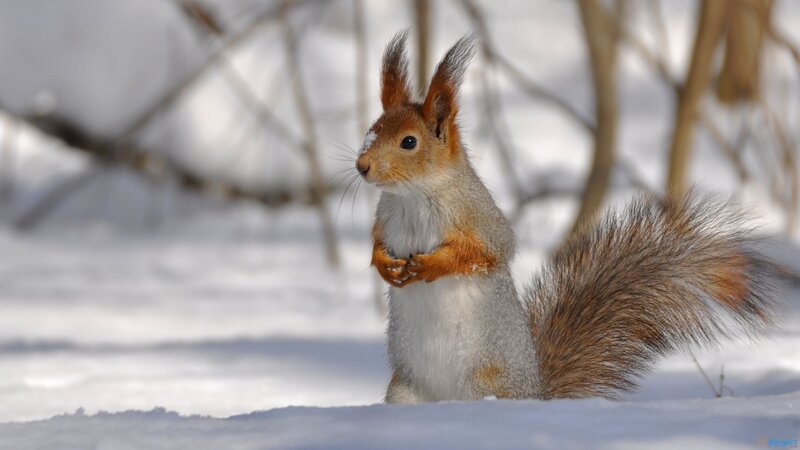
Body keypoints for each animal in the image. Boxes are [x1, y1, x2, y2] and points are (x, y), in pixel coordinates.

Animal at [355, 31, 778, 403]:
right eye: (370, 131)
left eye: (409, 142)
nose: (362, 166)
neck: (412, 196)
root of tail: (536, 395)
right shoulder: (385, 217)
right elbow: (377, 244)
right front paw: (384, 265)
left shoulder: (479, 217)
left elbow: (486, 253)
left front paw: (429, 265)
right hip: (404, 390)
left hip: (482, 382)